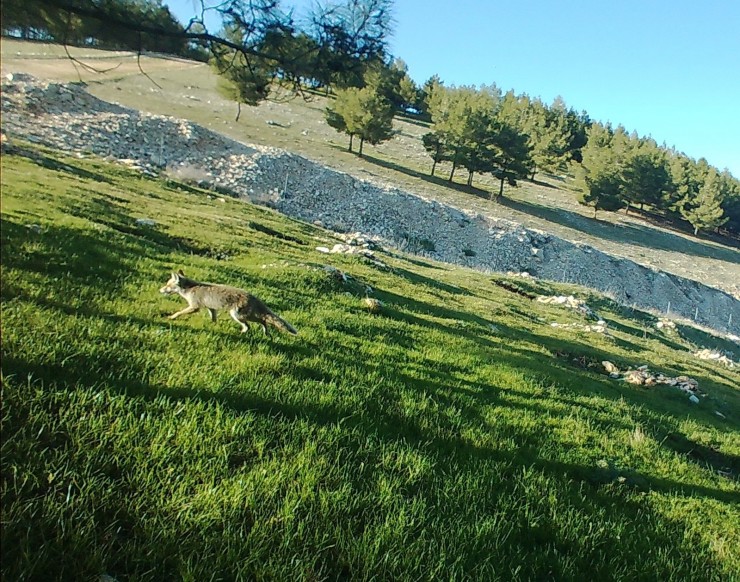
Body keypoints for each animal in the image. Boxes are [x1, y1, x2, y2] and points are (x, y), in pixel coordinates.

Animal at [159, 270, 298, 336]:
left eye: (167, 285)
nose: (160, 290)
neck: (189, 289)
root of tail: (253, 297)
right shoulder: (211, 308)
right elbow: (213, 318)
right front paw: (213, 325)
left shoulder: (194, 307)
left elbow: (179, 312)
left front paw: (171, 317)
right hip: (245, 316)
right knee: (263, 321)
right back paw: (266, 333)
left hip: (237, 316)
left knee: (251, 326)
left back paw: (241, 333)